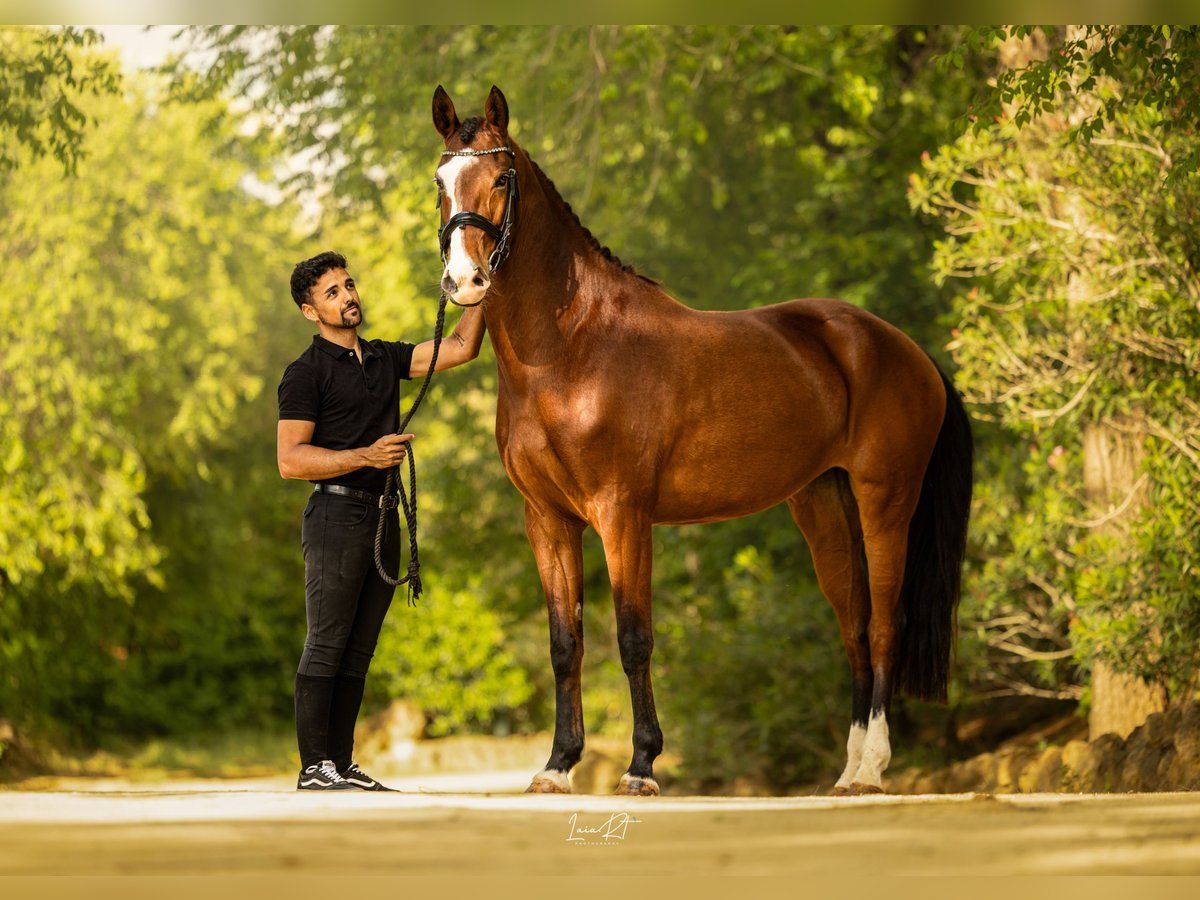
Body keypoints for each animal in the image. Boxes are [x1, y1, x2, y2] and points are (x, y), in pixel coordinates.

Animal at [431, 85, 973, 796]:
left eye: (501, 178)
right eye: (440, 182)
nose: (464, 281)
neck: (571, 350)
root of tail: (905, 349)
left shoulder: (623, 514)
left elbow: (633, 638)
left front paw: (640, 767)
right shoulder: (547, 520)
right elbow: (564, 643)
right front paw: (557, 765)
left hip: (887, 501)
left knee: (885, 624)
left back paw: (872, 772)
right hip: (824, 505)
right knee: (854, 627)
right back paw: (849, 767)